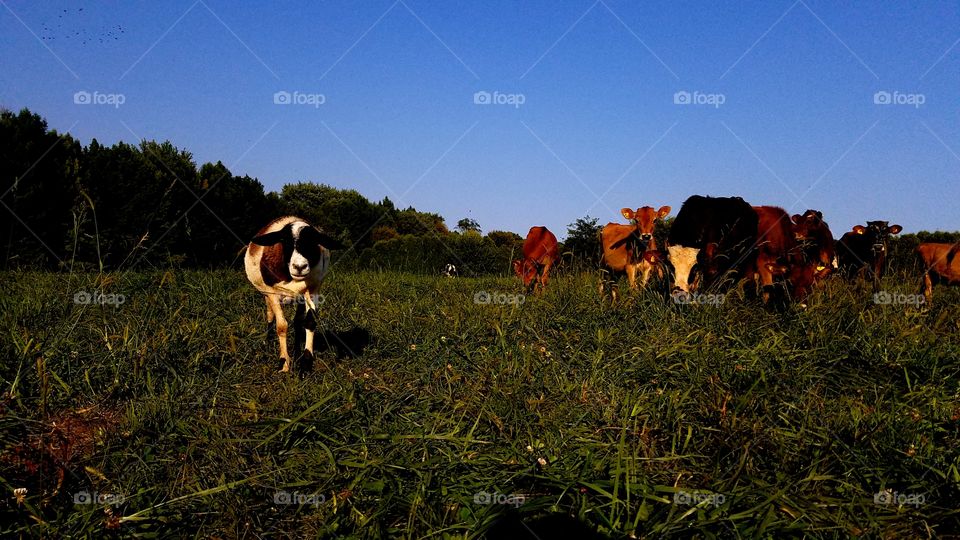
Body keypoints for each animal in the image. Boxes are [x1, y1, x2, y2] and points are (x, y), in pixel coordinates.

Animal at [244, 215, 344, 372]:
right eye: (284, 240)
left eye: (313, 241)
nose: (300, 267)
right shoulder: (272, 293)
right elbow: (281, 326)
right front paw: (284, 363)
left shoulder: (313, 290)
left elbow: (309, 322)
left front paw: (306, 363)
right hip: (266, 295)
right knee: (270, 315)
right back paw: (268, 341)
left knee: (297, 322)